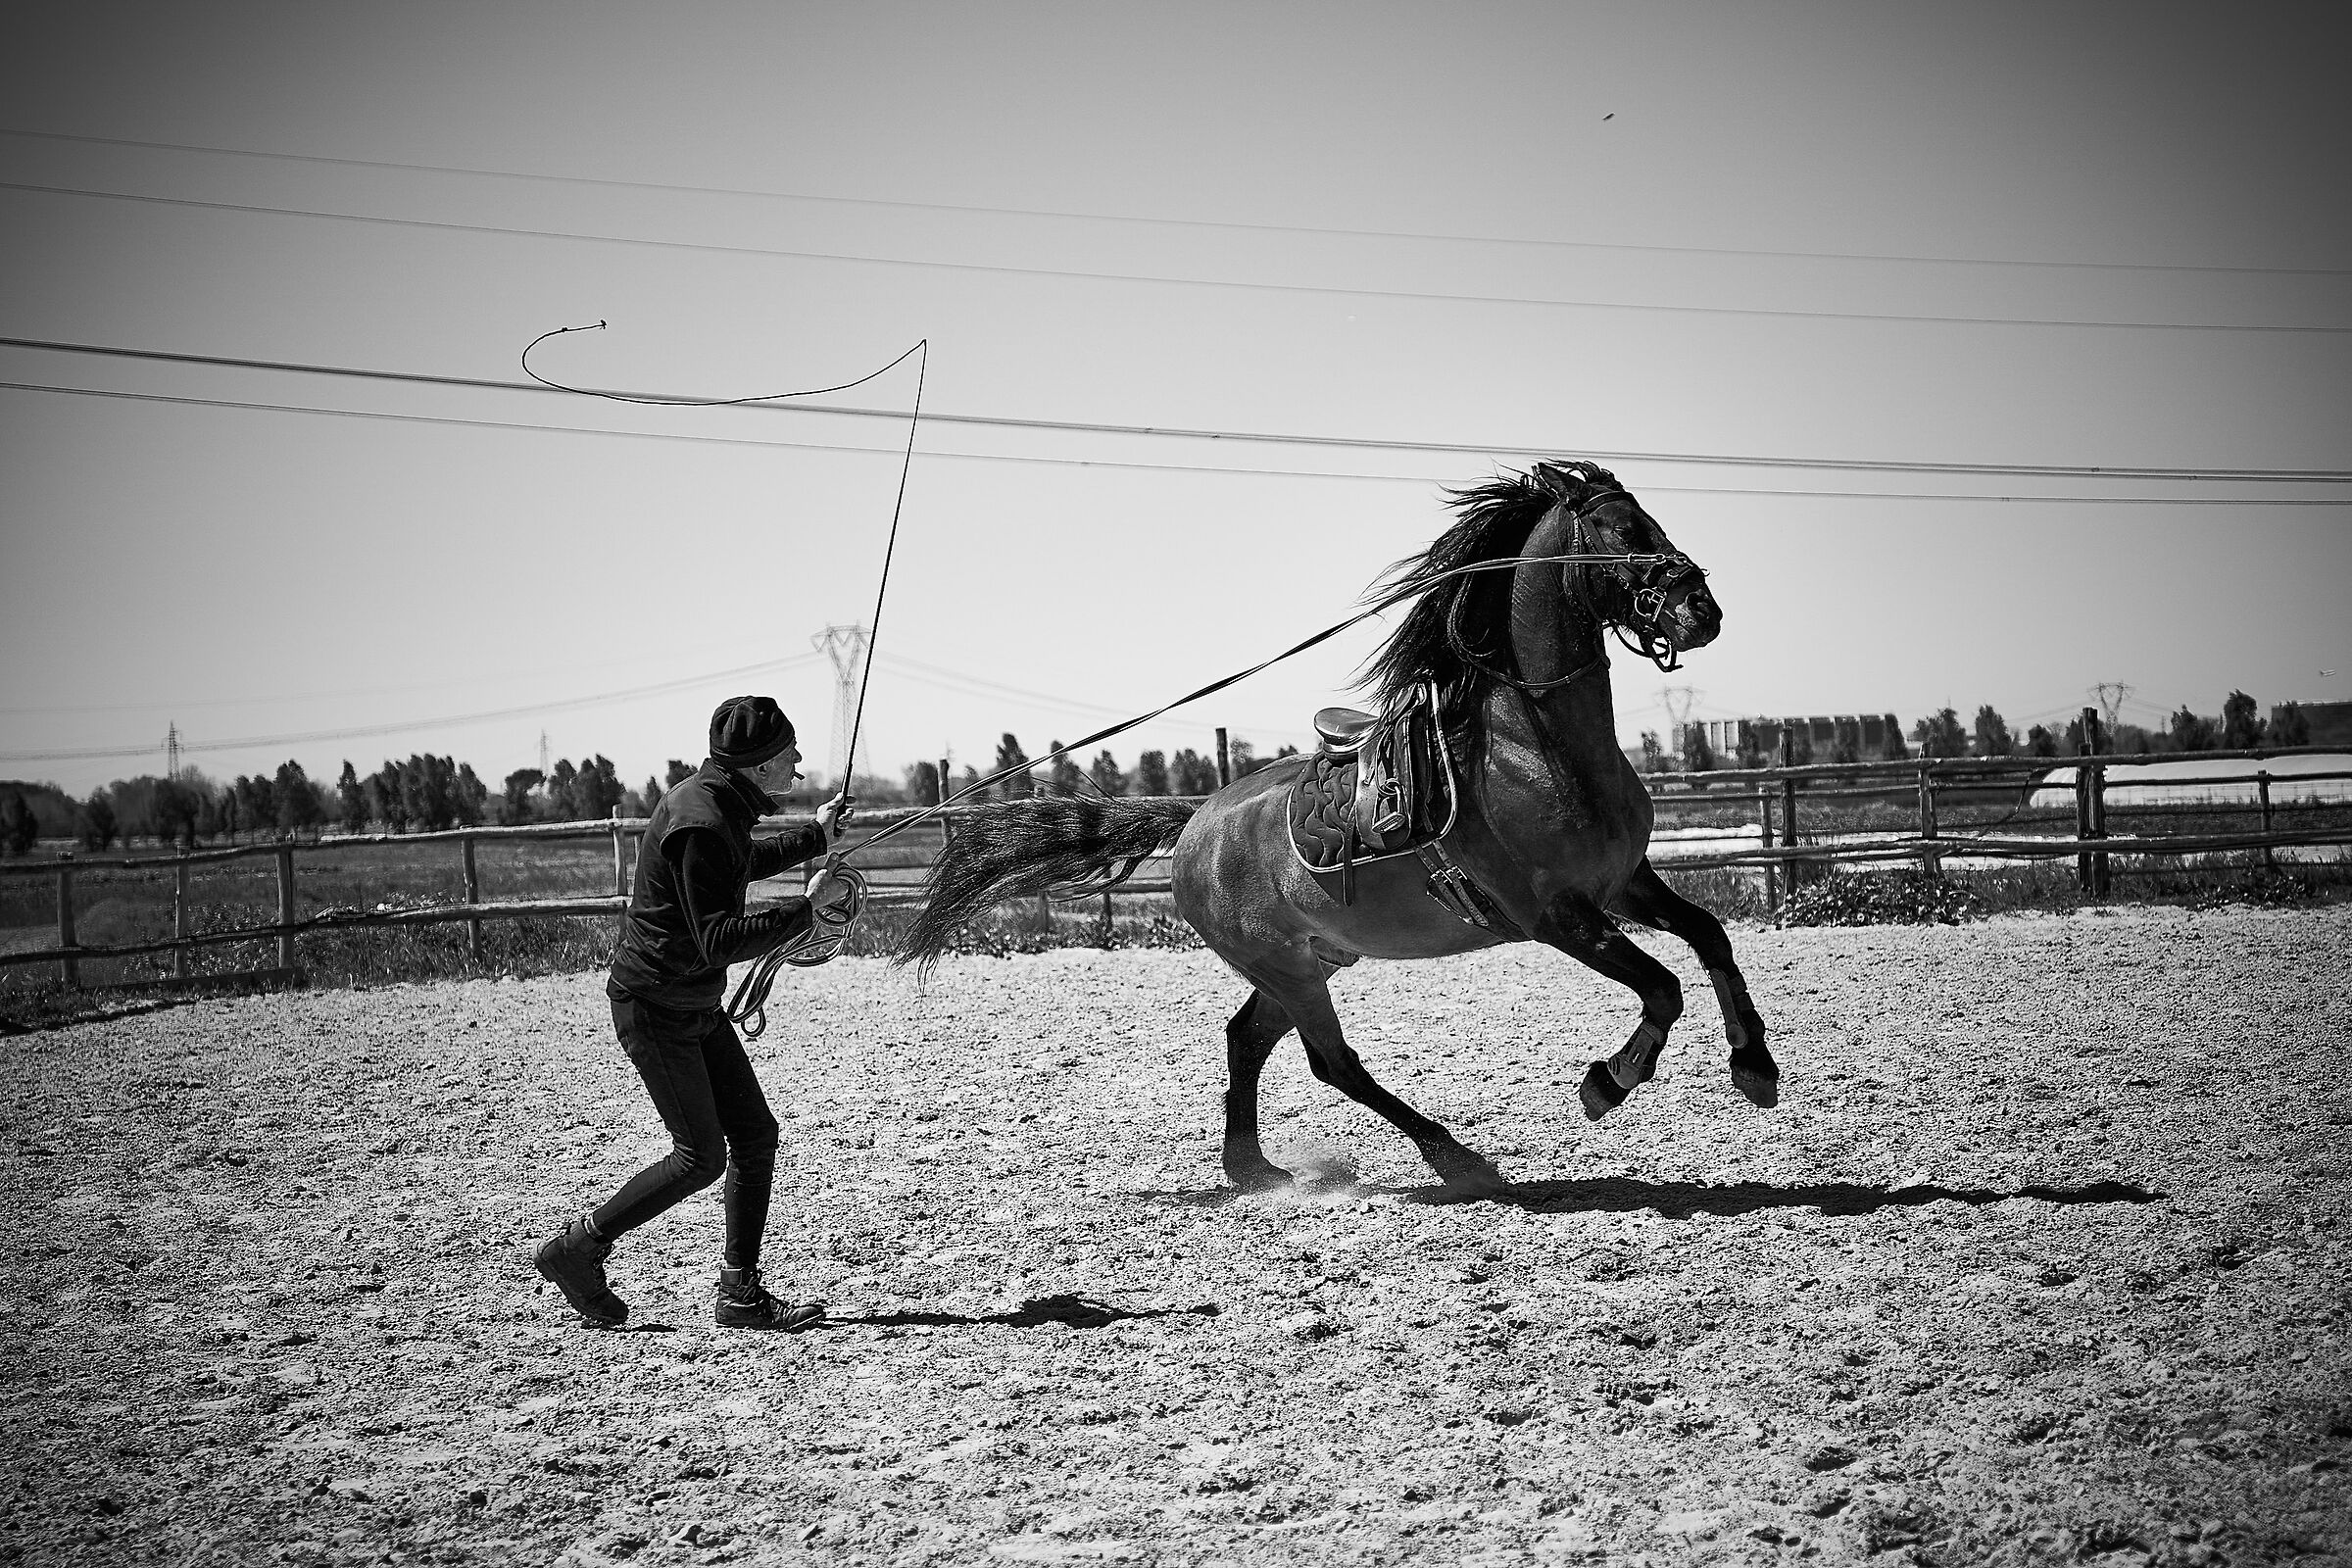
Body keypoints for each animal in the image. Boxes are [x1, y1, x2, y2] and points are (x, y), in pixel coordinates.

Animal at [896, 460, 1778, 1199]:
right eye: (1620, 530)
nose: (1701, 610)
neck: (1533, 746)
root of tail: (1195, 822)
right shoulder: (1556, 915)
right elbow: (1661, 987)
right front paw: (1607, 1081)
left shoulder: (1625, 882)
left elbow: (1709, 937)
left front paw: (1755, 1065)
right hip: (1289, 968)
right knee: (1333, 1063)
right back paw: (1454, 1157)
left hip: (1310, 959)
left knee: (1247, 1040)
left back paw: (1253, 1169)